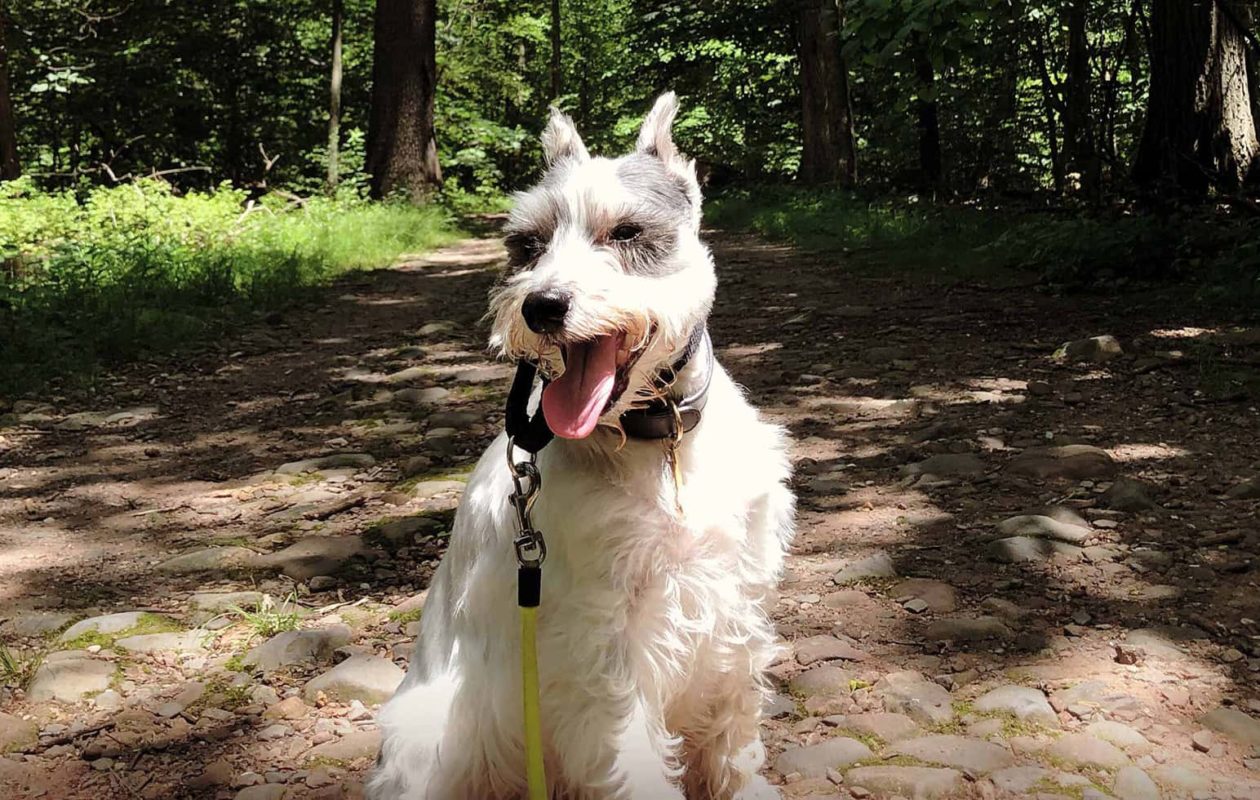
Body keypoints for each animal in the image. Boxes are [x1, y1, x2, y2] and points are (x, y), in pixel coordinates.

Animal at [367, 95, 791, 800]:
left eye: (625, 232)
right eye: (527, 244)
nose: (542, 305)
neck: (663, 448)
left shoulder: (734, 600)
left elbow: (731, 728)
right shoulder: (608, 646)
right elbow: (636, 754)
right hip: (428, 738)